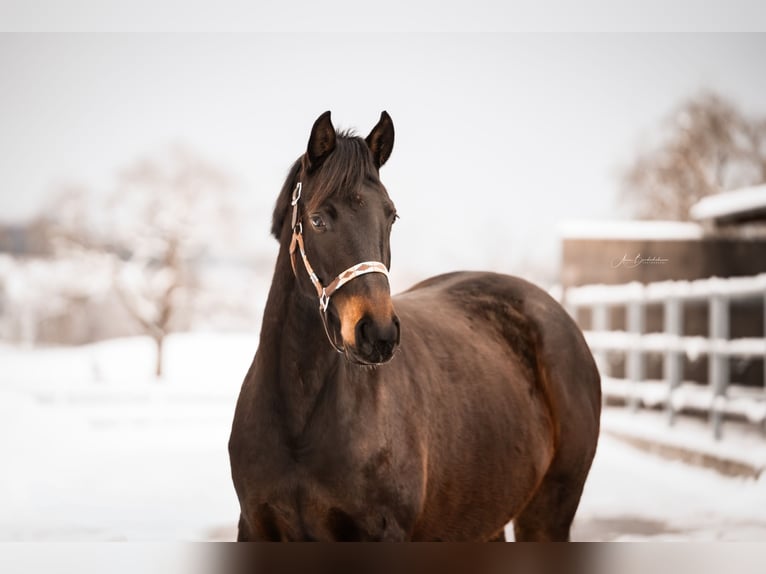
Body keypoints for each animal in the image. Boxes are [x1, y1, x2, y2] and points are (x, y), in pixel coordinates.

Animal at [228, 111, 601, 541]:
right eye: (318, 219)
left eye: (391, 215)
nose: (378, 334)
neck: (298, 425)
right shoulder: (254, 527)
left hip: (548, 513)